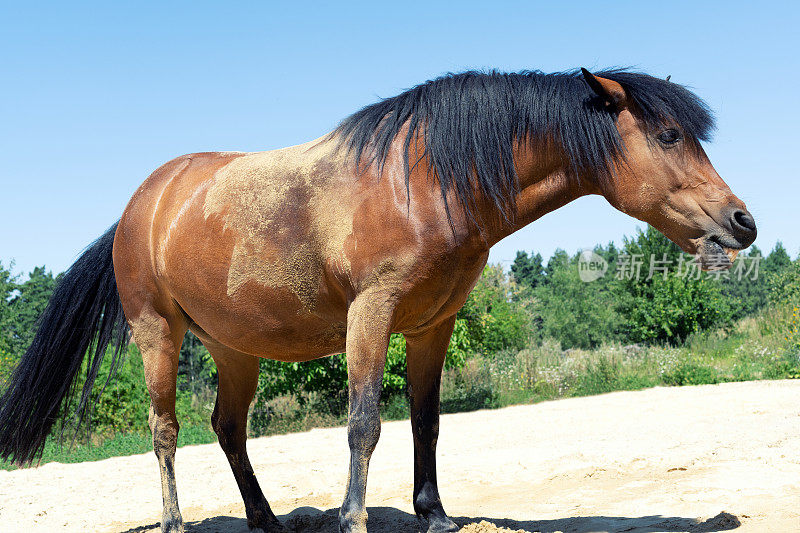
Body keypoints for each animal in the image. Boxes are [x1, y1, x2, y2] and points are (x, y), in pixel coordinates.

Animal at [0, 68, 756, 528]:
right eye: (669, 135)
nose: (742, 222)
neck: (427, 178)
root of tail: (140, 208)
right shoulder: (370, 313)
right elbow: (364, 422)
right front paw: (353, 516)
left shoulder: (431, 324)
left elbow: (426, 420)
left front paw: (435, 512)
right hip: (157, 331)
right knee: (165, 430)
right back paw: (175, 521)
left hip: (233, 345)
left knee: (228, 427)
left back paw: (266, 519)